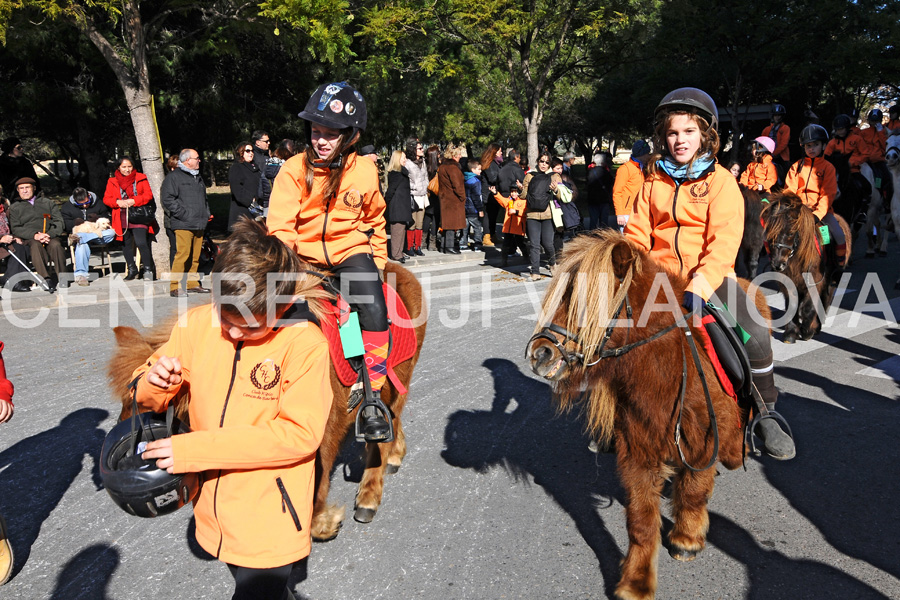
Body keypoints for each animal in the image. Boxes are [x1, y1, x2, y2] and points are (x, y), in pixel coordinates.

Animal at [105, 262, 428, 540]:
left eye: (151, 412)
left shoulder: (320, 430)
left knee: (382, 435)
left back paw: (369, 496)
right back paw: (396, 456)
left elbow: (315, 484)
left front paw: (322, 523)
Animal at [528, 231, 772, 600]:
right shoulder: (638, 449)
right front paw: (636, 581)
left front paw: (687, 538)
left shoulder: (703, 439)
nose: (540, 354)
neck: (667, 366)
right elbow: (641, 520)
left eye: (589, 301)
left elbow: (694, 489)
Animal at [760, 191, 852, 342]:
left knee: (825, 299)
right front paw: (791, 333)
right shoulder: (790, 281)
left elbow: (809, 306)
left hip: (831, 279)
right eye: (769, 233)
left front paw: (808, 330)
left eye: (791, 232)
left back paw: (817, 326)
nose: (778, 264)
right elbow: (792, 304)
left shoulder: (815, 279)